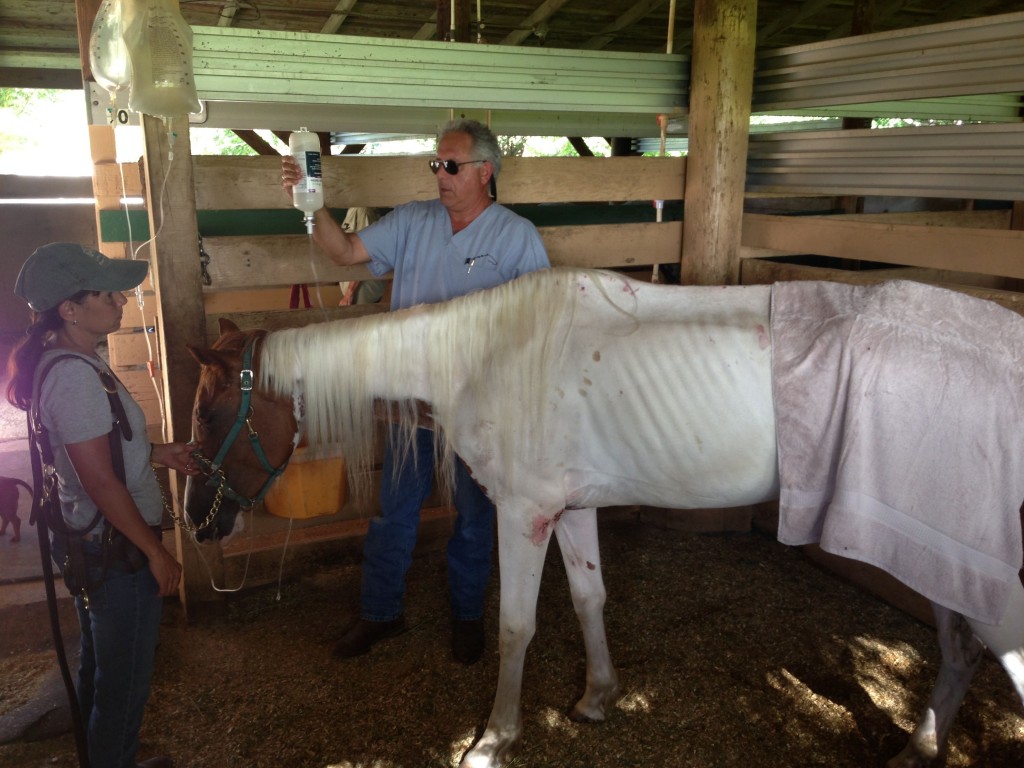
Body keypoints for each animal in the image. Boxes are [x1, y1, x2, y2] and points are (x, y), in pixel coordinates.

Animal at [182, 268, 1024, 765]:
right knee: (958, 651)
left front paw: (495, 737)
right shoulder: (569, 507)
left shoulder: (523, 512)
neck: (487, 353)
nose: (198, 522)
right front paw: (596, 698)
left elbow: (516, 626)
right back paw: (919, 748)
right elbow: (589, 598)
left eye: (213, 410)